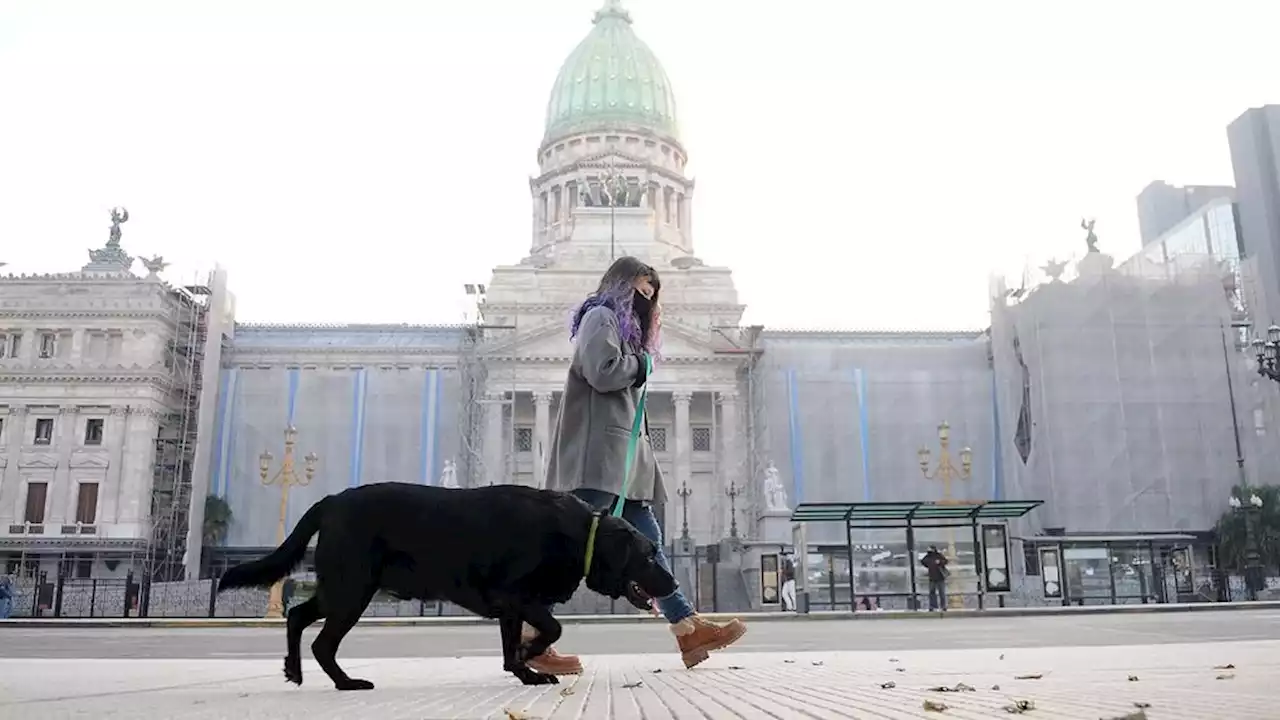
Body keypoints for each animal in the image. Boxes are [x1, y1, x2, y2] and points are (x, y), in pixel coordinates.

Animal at [215, 481, 675, 691]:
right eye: (651, 555)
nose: (671, 585)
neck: (580, 534)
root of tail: (330, 500)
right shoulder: (514, 595)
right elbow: (552, 628)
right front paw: (531, 655)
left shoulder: (511, 609)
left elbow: (511, 646)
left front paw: (525, 671)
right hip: (351, 591)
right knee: (320, 640)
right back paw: (346, 682)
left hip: (343, 588)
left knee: (297, 615)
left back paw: (295, 670)